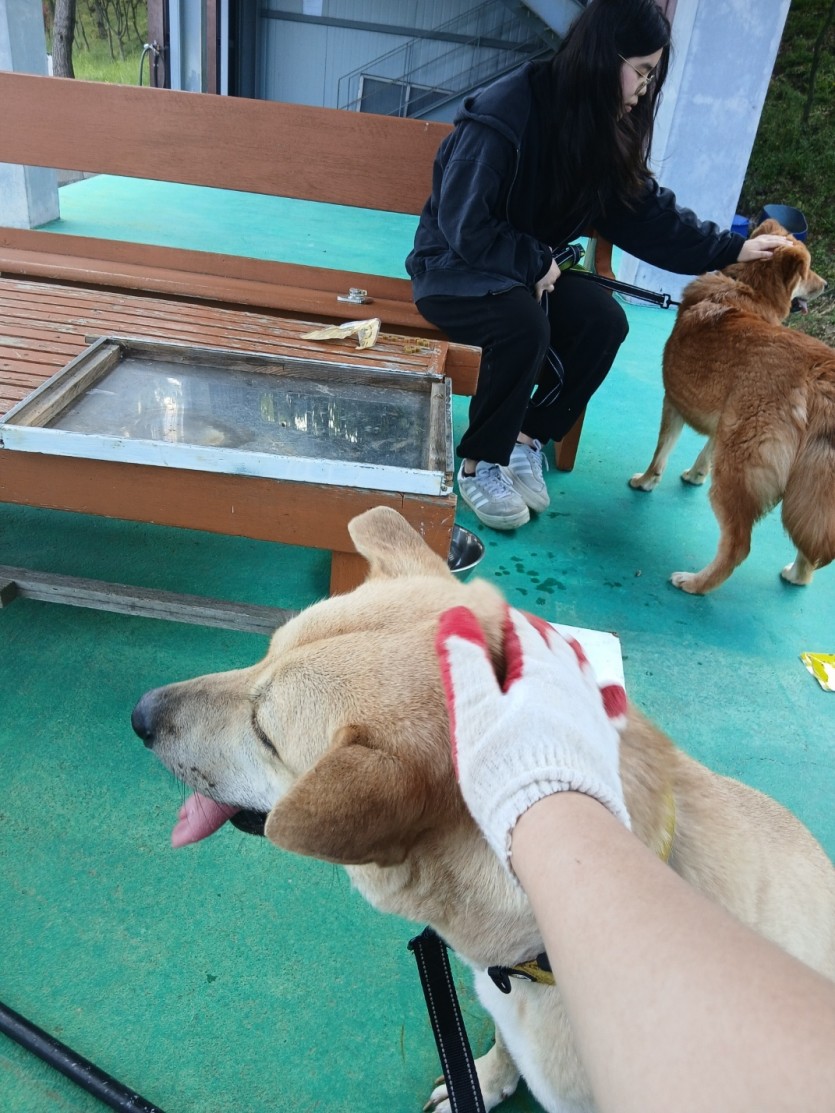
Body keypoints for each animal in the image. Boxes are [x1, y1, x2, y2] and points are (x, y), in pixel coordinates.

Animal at [132, 507, 835, 1112]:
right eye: (264, 653)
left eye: (265, 732)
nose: (138, 715)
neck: (536, 958)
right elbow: (503, 1050)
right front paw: (487, 1080)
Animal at [629, 219, 833, 593]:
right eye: (808, 270)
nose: (826, 284)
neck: (746, 288)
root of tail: (818, 371)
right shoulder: (725, 422)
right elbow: (705, 452)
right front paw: (694, 475)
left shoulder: (672, 402)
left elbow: (660, 453)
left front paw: (646, 481)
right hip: (811, 482)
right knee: (812, 541)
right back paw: (798, 575)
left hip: (739, 470)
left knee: (739, 546)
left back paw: (695, 582)